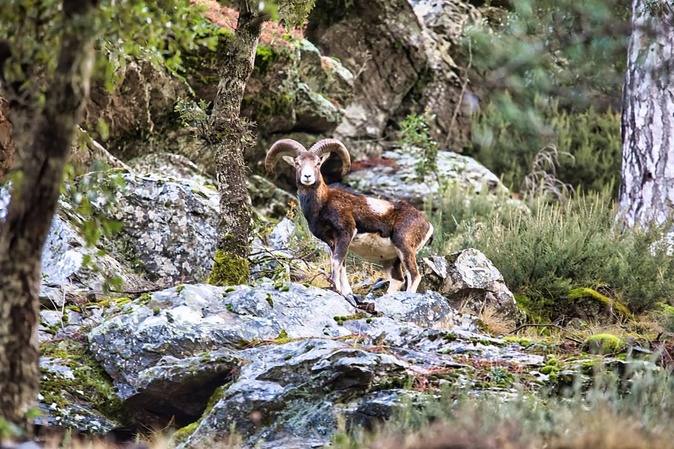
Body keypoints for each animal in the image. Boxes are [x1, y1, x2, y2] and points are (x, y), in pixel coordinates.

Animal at [262, 138, 430, 296]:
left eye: (318, 163)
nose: (307, 176)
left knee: (414, 275)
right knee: (397, 280)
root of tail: (427, 224)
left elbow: (336, 262)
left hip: (404, 248)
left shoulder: (345, 234)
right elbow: (341, 265)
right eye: (297, 163)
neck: (323, 204)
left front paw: (335, 288)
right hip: (391, 259)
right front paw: (346, 292)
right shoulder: (332, 242)